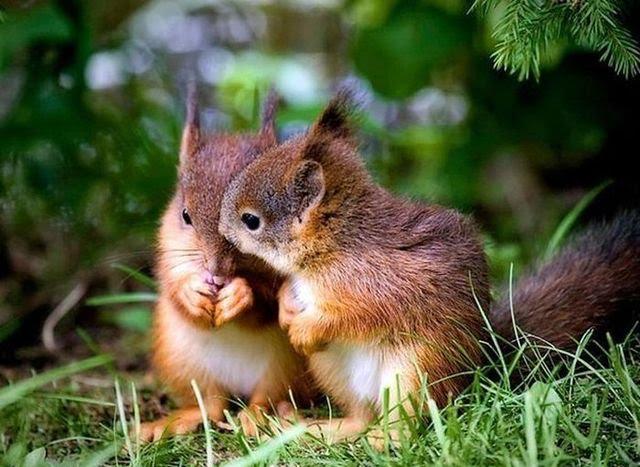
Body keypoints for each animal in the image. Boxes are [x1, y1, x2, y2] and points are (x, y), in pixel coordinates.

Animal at [142, 88, 318, 442]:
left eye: (251, 221)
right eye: (185, 216)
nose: (216, 272)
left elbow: (268, 302)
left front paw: (240, 294)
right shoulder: (168, 252)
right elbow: (172, 286)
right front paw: (191, 292)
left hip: (287, 366)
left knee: (267, 396)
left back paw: (259, 419)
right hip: (182, 360)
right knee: (210, 405)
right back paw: (171, 422)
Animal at [218, 90, 636, 446]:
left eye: (251, 221)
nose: (220, 230)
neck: (334, 248)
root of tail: (481, 363)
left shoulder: (375, 284)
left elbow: (353, 316)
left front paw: (305, 328)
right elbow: (289, 293)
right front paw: (288, 311)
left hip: (416, 372)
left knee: (408, 423)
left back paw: (385, 439)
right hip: (332, 370)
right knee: (361, 416)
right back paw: (322, 427)